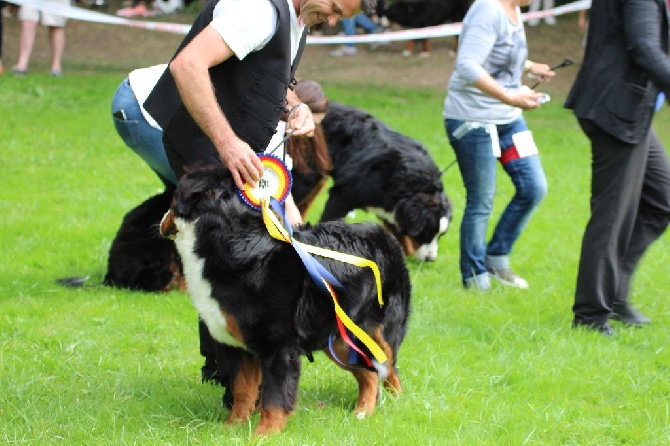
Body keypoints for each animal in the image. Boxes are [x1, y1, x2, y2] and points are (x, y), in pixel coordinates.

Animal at [160, 164, 412, 436]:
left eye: (172, 199)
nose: (161, 221)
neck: (228, 245)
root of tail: (384, 234)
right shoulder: (240, 347)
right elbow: (243, 390)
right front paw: (232, 428)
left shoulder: (278, 347)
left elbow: (275, 398)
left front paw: (264, 433)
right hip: (339, 339)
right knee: (370, 374)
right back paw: (362, 413)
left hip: (375, 332)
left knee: (388, 366)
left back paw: (395, 403)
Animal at [292, 101, 454, 262]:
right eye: (426, 233)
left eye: (440, 235)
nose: (430, 259)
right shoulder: (343, 196)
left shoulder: (390, 208)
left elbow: (402, 238)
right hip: (307, 177)